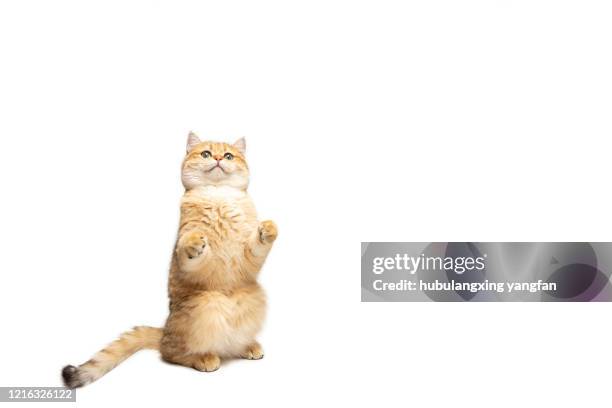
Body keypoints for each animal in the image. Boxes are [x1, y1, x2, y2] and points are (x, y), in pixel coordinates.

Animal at [62, 132, 278, 388]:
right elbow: (189, 249)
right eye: (206, 153)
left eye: (228, 156)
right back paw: (204, 358)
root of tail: (164, 331)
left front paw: (268, 228)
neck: (219, 196)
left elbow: (257, 243)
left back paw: (247, 346)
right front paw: (194, 242)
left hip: (253, 297)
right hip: (205, 303)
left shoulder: (248, 257)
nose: (217, 158)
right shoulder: (189, 260)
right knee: (172, 353)